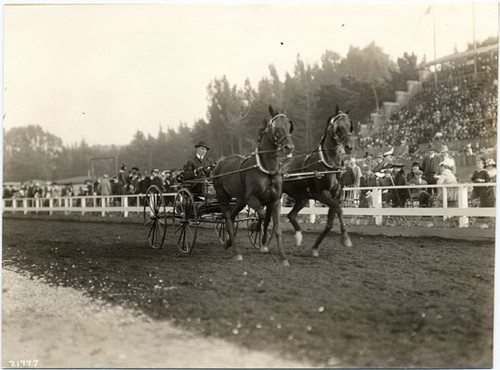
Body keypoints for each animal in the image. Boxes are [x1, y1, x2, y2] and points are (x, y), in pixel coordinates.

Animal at [213, 105, 294, 264]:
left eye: (289, 126)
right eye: (276, 127)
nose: (289, 147)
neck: (267, 169)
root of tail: (219, 163)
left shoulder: (275, 200)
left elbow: (275, 226)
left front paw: (282, 256)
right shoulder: (252, 199)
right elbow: (261, 215)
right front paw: (254, 227)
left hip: (240, 200)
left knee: (232, 216)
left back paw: (228, 243)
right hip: (223, 196)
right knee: (227, 218)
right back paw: (236, 251)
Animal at [278, 107, 356, 258]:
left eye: (350, 125)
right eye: (338, 127)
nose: (349, 147)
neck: (329, 164)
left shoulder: (336, 195)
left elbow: (330, 223)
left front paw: (315, 248)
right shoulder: (322, 194)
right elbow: (339, 209)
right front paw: (346, 238)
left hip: (301, 198)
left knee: (291, 215)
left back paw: (298, 236)